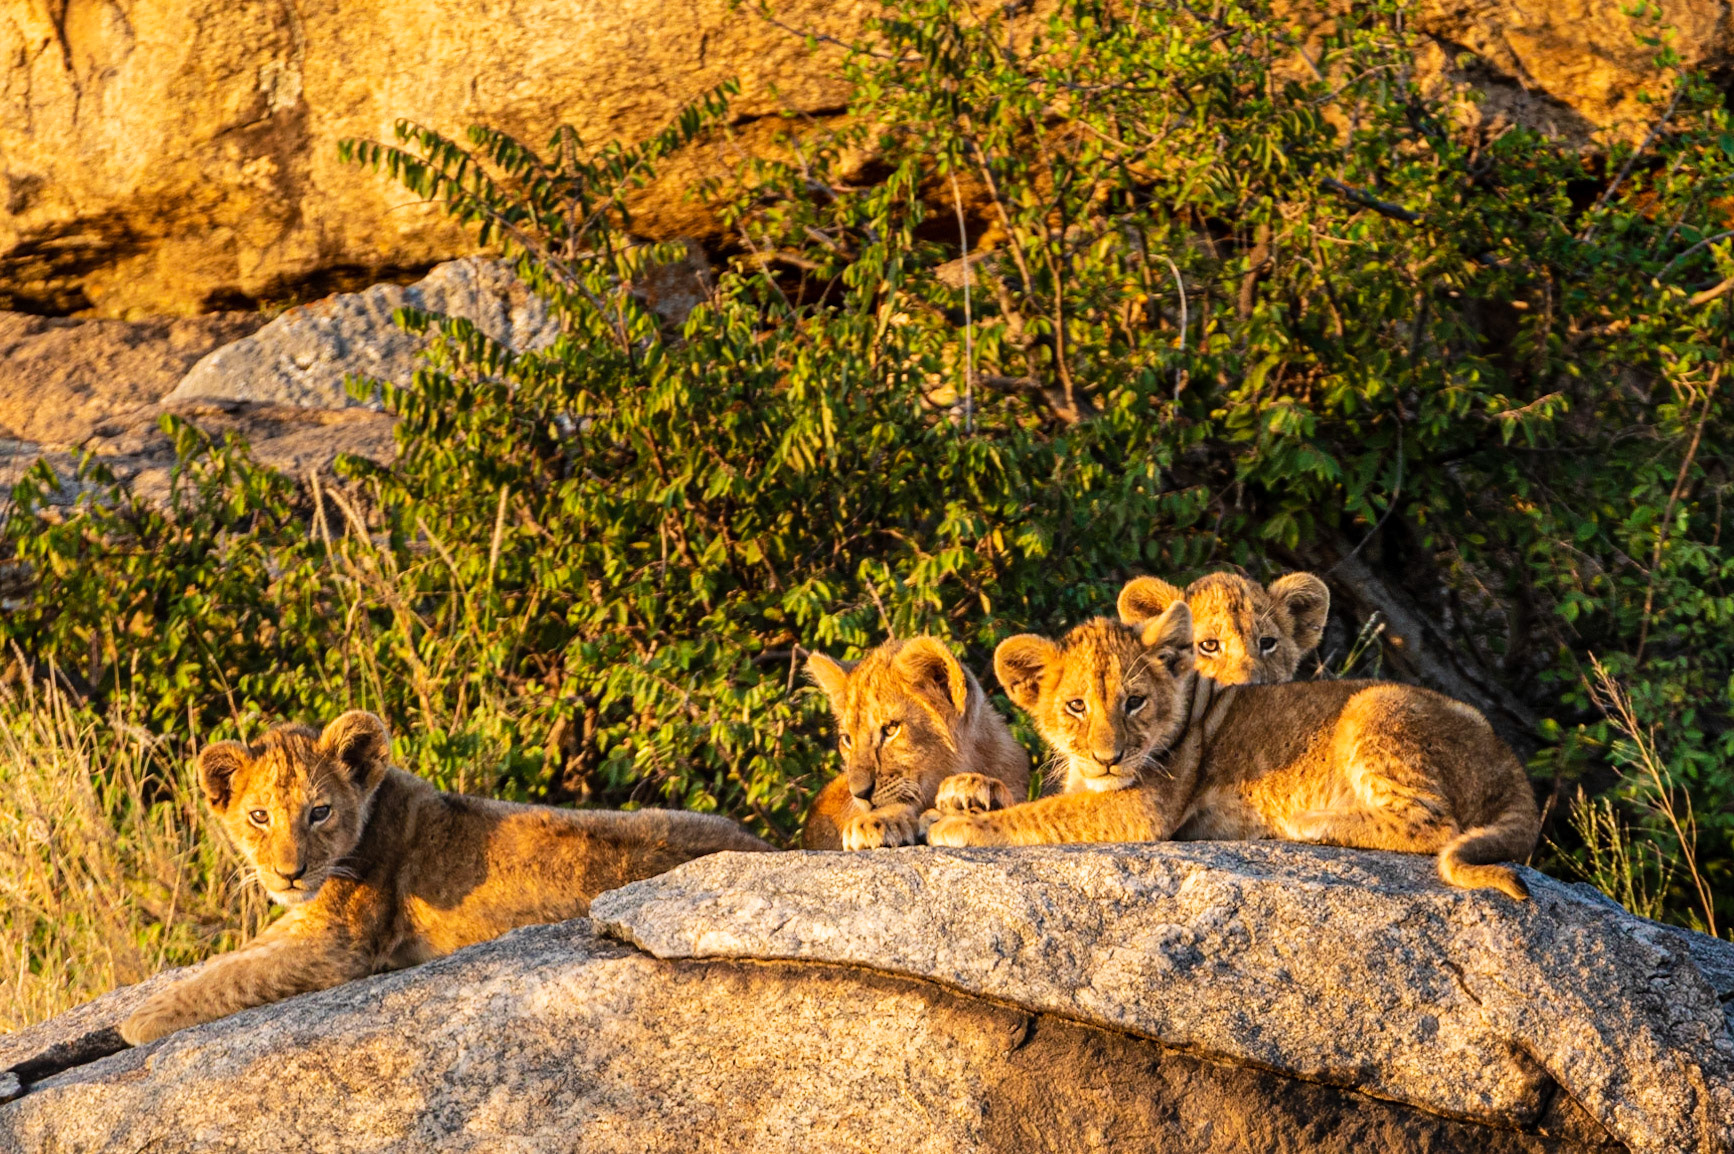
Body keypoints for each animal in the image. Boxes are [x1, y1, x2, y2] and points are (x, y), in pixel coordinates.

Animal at [120, 711, 771, 1045]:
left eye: (319, 812)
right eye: (259, 817)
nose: (289, 873)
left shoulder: (340, 945)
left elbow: (227, 979)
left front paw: (136, 1022)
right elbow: (230, 964)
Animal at [925, 605, 1540, 899]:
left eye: (1134, 701)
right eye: (1076, 706)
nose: (1109, 757)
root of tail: (1508, 757)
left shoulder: (1142, 809)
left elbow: (1044, 813)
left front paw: (956, 825)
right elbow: (1039, 797)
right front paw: (966, 791)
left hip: (1375, 705)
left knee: (1434, 824)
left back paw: (1312, 822)